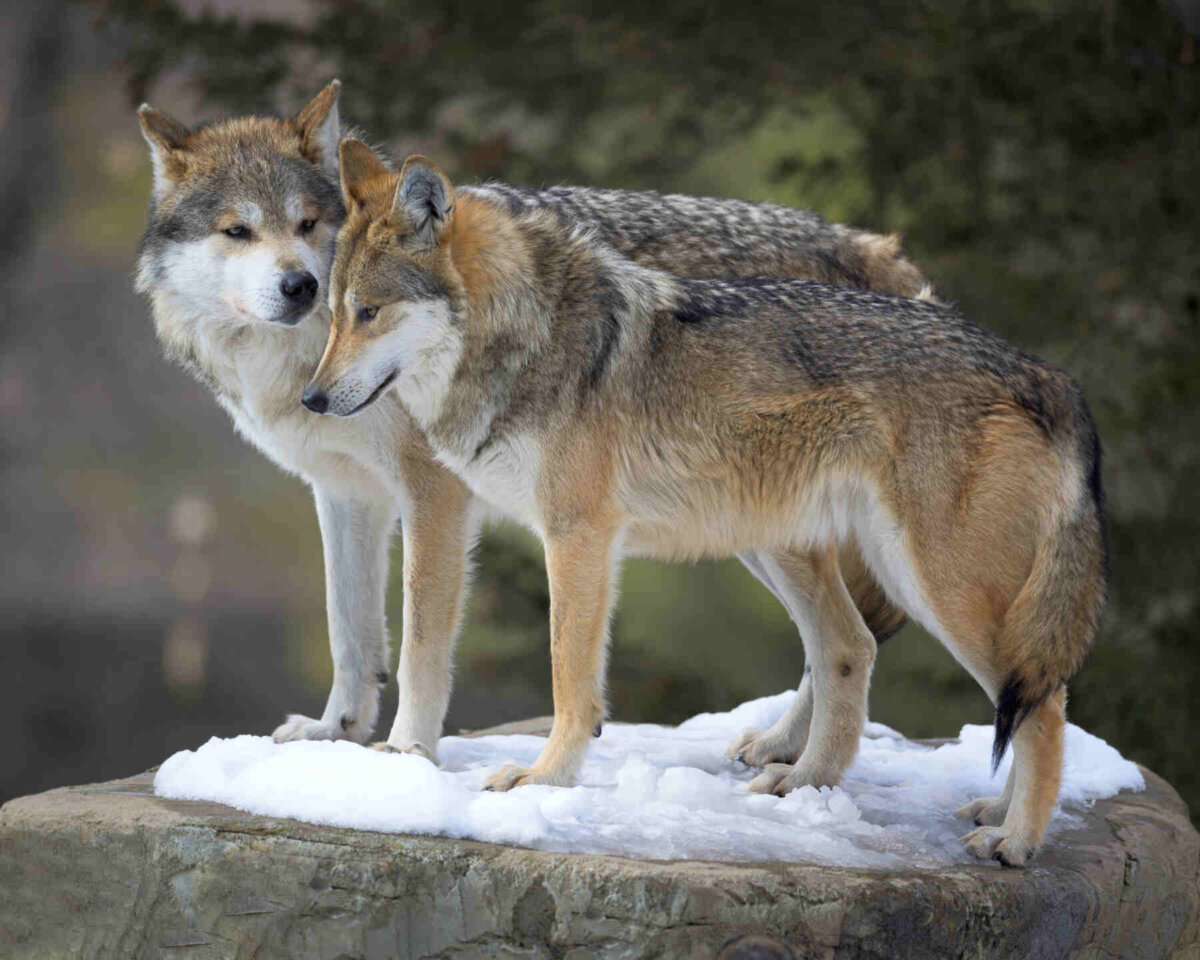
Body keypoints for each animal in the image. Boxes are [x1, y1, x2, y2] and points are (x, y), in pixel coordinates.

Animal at [307, 144, 1104, 868]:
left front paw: (544, 779)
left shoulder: (576, 537)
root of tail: (1045, 374)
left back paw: (1015, 838)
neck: (527, 337)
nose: (312, 399)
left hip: (935, 586)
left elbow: (569, 676)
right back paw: (812, 783)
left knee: (1043, 704)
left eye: (369, 312)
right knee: (858, 651)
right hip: (793, 548)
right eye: (332, 314)